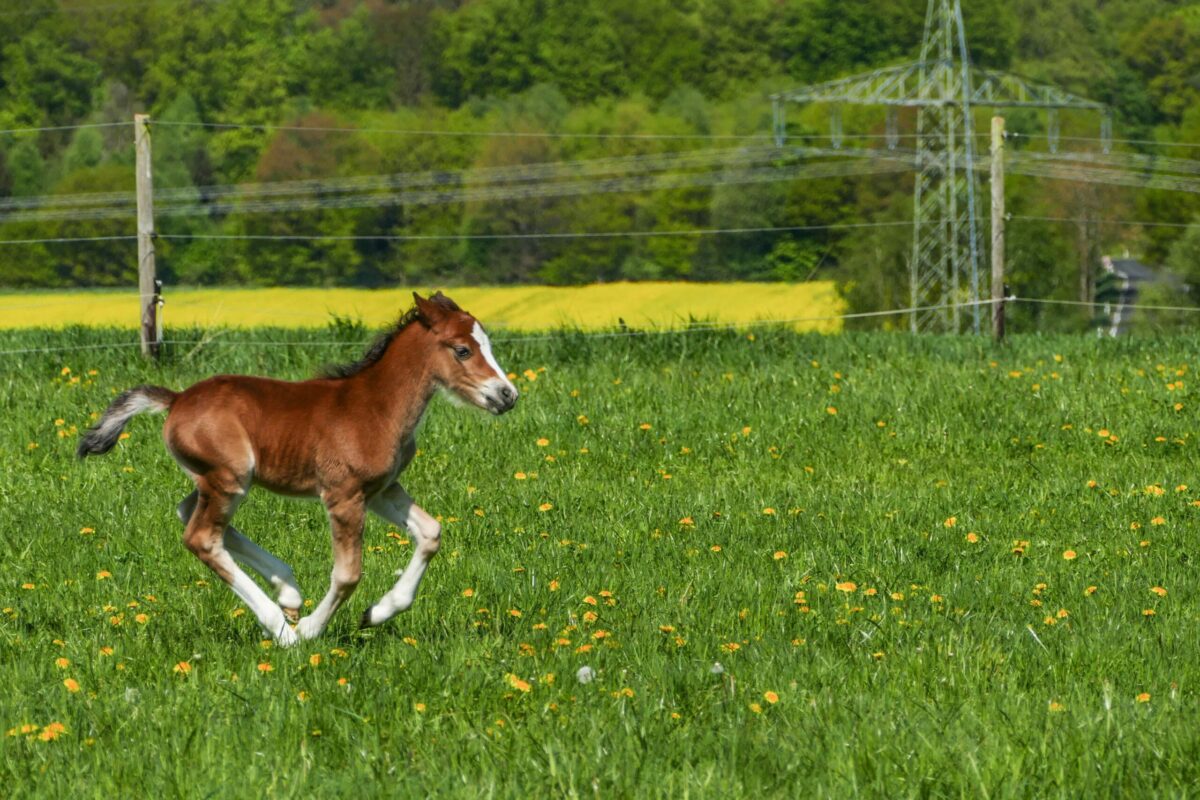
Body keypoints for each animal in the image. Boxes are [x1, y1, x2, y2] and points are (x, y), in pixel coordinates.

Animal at [75, 292, 516, 642]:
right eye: (462, 350)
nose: (507, 395)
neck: (377, 405)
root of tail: (177, 398)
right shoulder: (343, 495)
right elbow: (348, 574)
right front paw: (309, 631)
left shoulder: (380, 490)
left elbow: (431, 533)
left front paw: (376, 614)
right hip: (230, 478)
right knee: (201, 537)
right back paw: (283, 628)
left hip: (218, 480)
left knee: (189, 513)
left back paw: (288, 591)